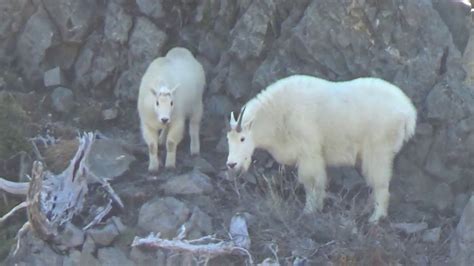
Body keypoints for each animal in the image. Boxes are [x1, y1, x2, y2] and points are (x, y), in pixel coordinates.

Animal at [226, 74, 414, 222]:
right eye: (228, 139)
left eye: (242, 138)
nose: (231, 164)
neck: (278, 115)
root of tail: (408, 113)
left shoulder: (308, 152)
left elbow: (311, 181)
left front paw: (309, 210)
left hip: (378, 149)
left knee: (380, 183)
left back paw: (376, 217)